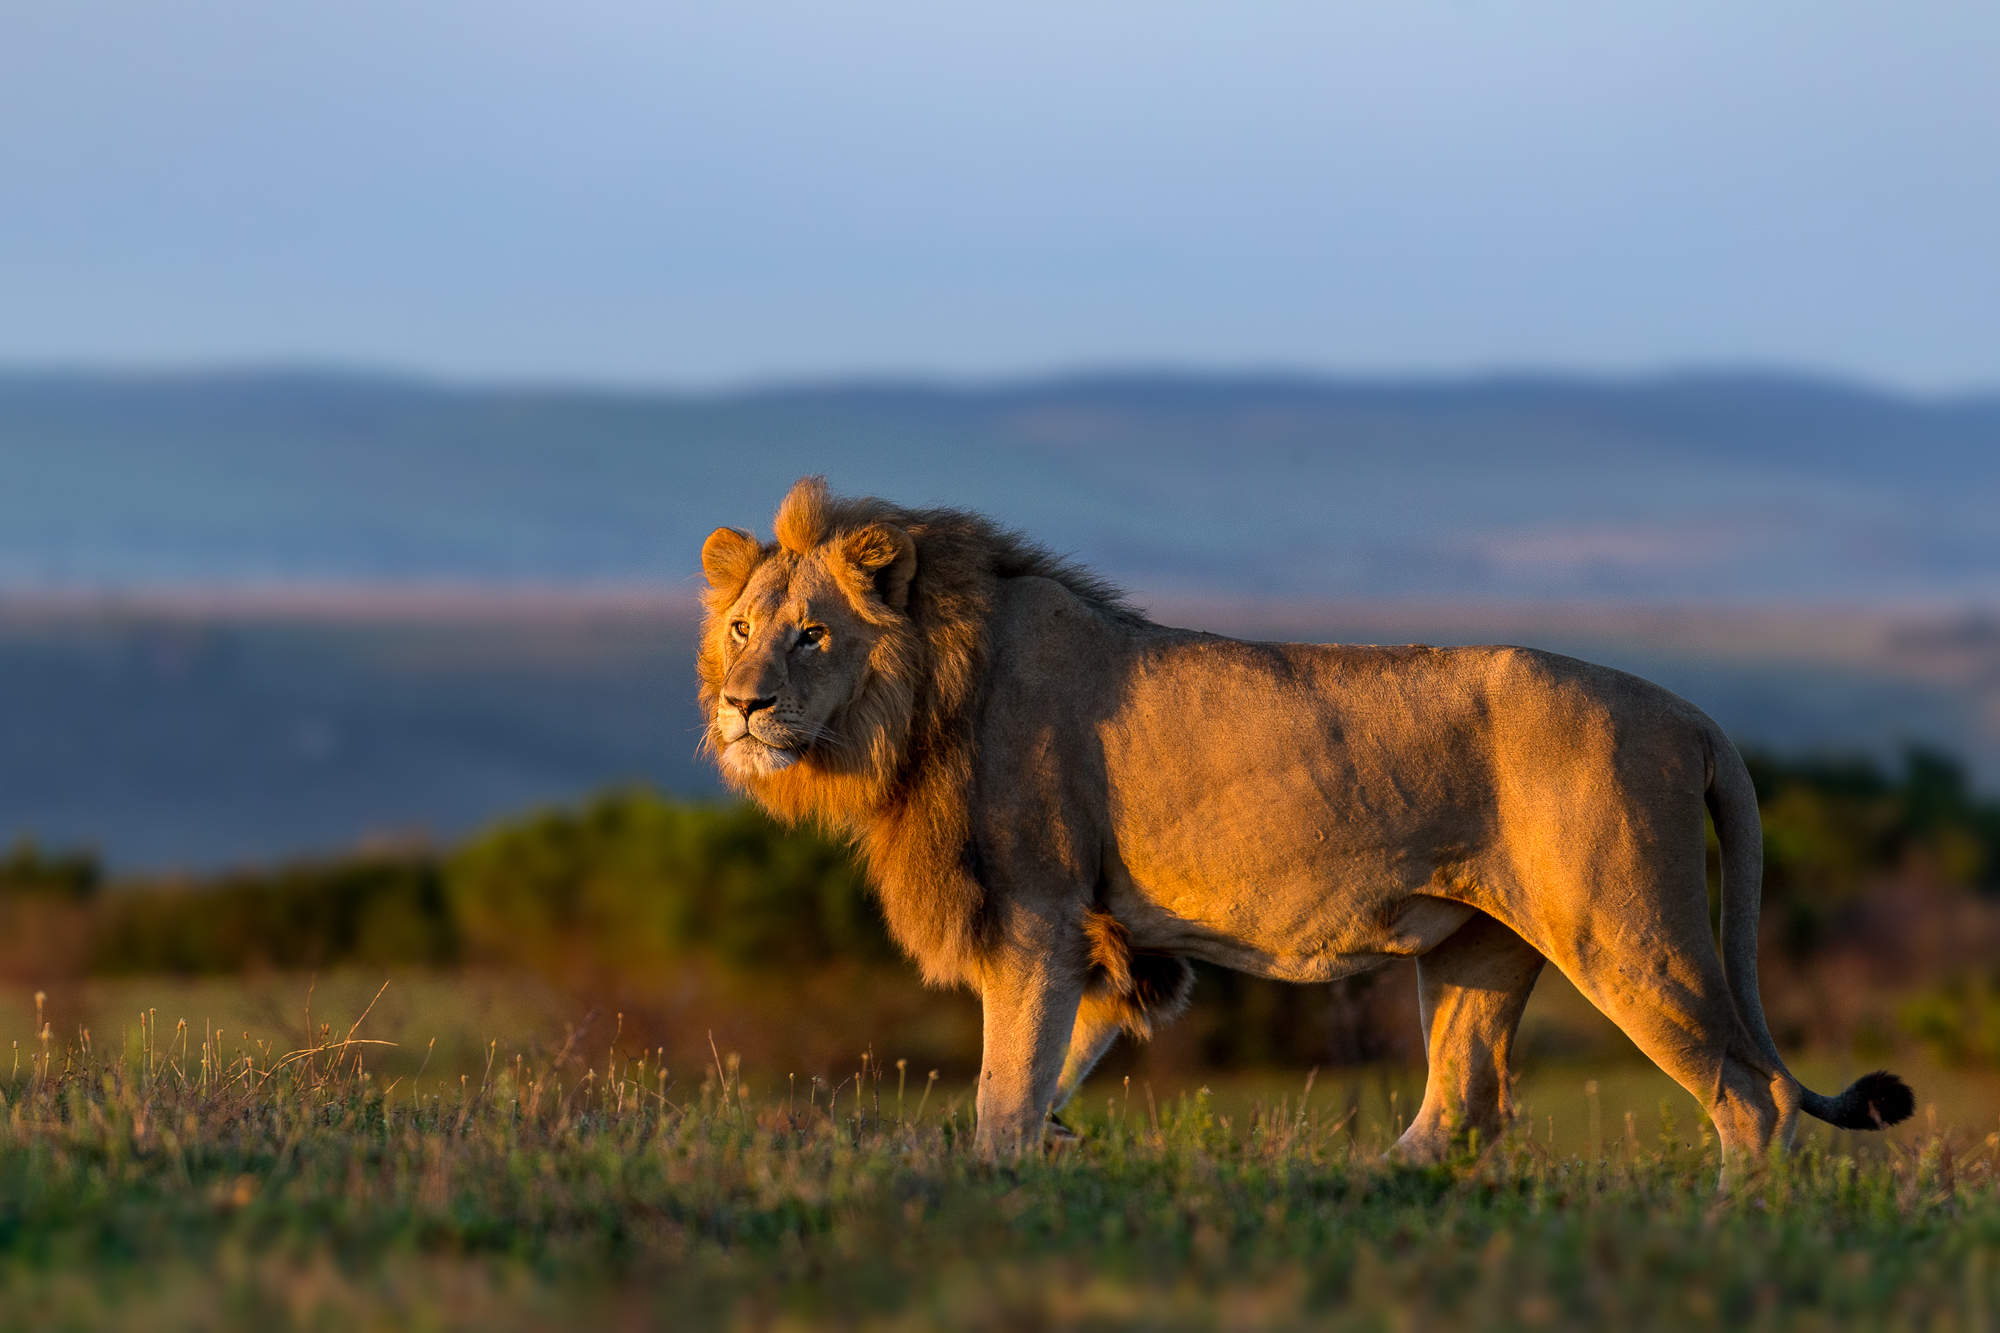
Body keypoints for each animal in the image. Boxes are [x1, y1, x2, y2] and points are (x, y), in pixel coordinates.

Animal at [696, 474, 1912, 1152]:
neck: (918, 703)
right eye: (743, 627)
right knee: (1457, 1112)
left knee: (1752, 1096)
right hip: (1480, 947)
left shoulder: (1036, 912)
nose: (741, 705)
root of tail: (1691, 714)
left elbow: (1003, 1089)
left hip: (1624, 928)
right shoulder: (1107, 941)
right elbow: (1048, 1076)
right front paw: (1048, 1151)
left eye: (812, 633)